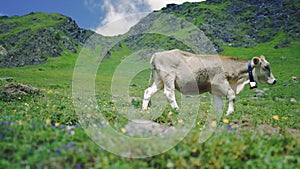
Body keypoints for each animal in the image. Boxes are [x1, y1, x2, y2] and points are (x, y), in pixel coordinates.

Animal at [143, 48, 276, 115]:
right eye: (266, 67)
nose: (274, 81)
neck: (238, 81)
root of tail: (156, 54)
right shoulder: (220, 82)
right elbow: (232, 96)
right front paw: (230, 112)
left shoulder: (215, 90)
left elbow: (219, 104)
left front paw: (219, 115)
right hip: (168, 77)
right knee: (169, 93)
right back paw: (177, 110)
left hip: (159, 80)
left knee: (148, 92)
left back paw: (144, 110)